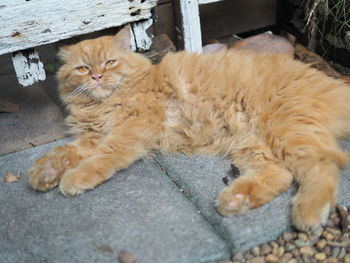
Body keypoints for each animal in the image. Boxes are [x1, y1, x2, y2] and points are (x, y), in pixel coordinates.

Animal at [28, 26, 350, 233]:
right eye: (83, 68)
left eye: (110, 62)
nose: (96, 77)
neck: (104, 103)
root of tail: (332, 83)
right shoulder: (94, 135)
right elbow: (65, 151)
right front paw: (45, 172)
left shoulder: (132, 127)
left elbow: (104, 156)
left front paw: (77, 176)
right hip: (251, 143)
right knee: (281, 173)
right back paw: (237, 199)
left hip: (286, 131)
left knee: (322, 167)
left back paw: (309, 212)